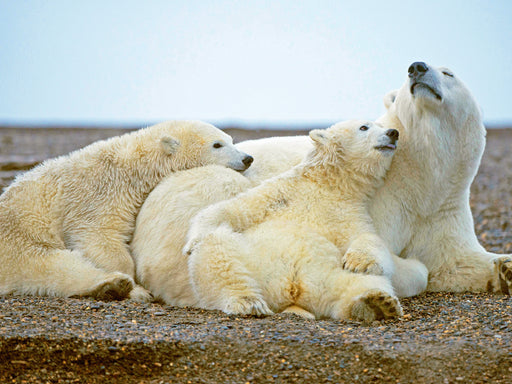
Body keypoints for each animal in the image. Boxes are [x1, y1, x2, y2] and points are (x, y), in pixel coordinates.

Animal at [0, 120, 254, 300]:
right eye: (217, 144)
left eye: (230, 139)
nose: (247, 158)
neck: (127, 169)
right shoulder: (96, 197)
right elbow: (98, 238)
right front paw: (132, 283)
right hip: (19, 239)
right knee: (51, 266)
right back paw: (114, 285)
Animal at [184, 121, 404, 320]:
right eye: (364, 127)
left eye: (381, 125)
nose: (393, 132)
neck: (329, 185)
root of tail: (293, 289)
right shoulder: (282, 192)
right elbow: (234, 209)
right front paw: (191, 243)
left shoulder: (350, 212)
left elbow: (368, 239)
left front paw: (357, 262)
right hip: (253, 262)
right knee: (217, 251)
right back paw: (248, 302)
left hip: (329, 276)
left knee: (364, 281)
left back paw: (375, 304)